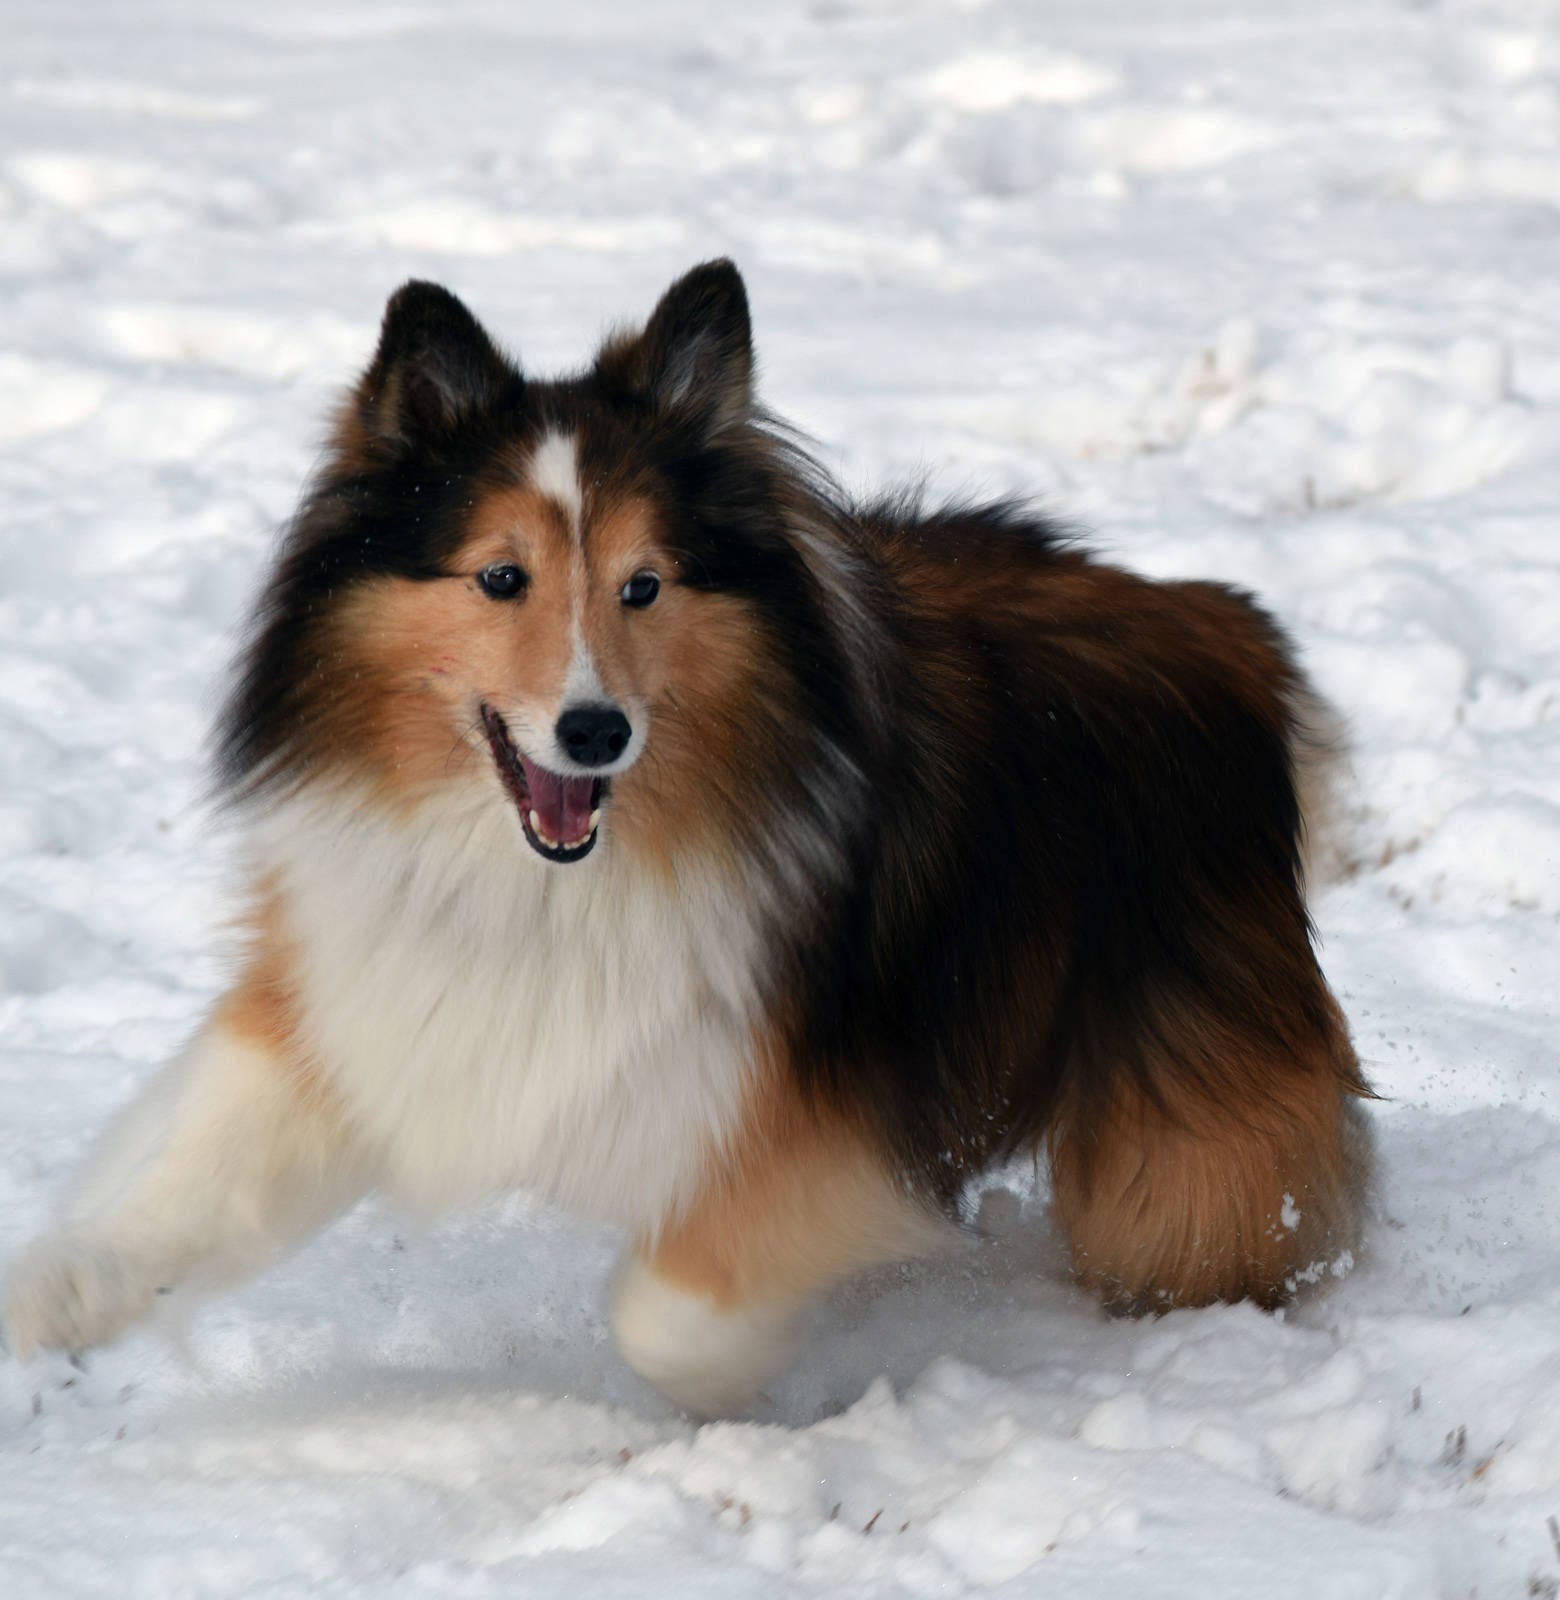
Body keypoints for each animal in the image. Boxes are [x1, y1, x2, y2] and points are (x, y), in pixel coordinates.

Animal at [0, 262, 1369, 1414]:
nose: (595, 730)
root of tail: (1228, 629)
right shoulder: (379, 1000)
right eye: (500, 577)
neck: (543, 879)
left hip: (1180, 1125)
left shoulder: (812, 1102)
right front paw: (56, 1294)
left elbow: (669, 1307)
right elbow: (199, 1185)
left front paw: (741, 1380)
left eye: (645, 584)